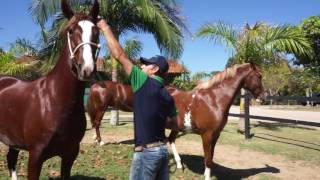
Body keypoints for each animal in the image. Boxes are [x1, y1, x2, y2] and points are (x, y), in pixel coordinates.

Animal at [0, 0, 100, 179]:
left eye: (97, 31)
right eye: (70, 31)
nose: (87, 69)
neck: (54, 100)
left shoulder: (70, 154)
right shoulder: (35, 156)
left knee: (11, 159)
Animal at [87, 62, 262, 179]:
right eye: (259, 76)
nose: (263, 95)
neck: (214, 100)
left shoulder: (215, 135)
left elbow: (211, 158)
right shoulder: (207, 135)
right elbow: (207, 159)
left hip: (175, 127)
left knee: (170, 140)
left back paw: (178, 164)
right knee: (97, 124)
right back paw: (100, 141)